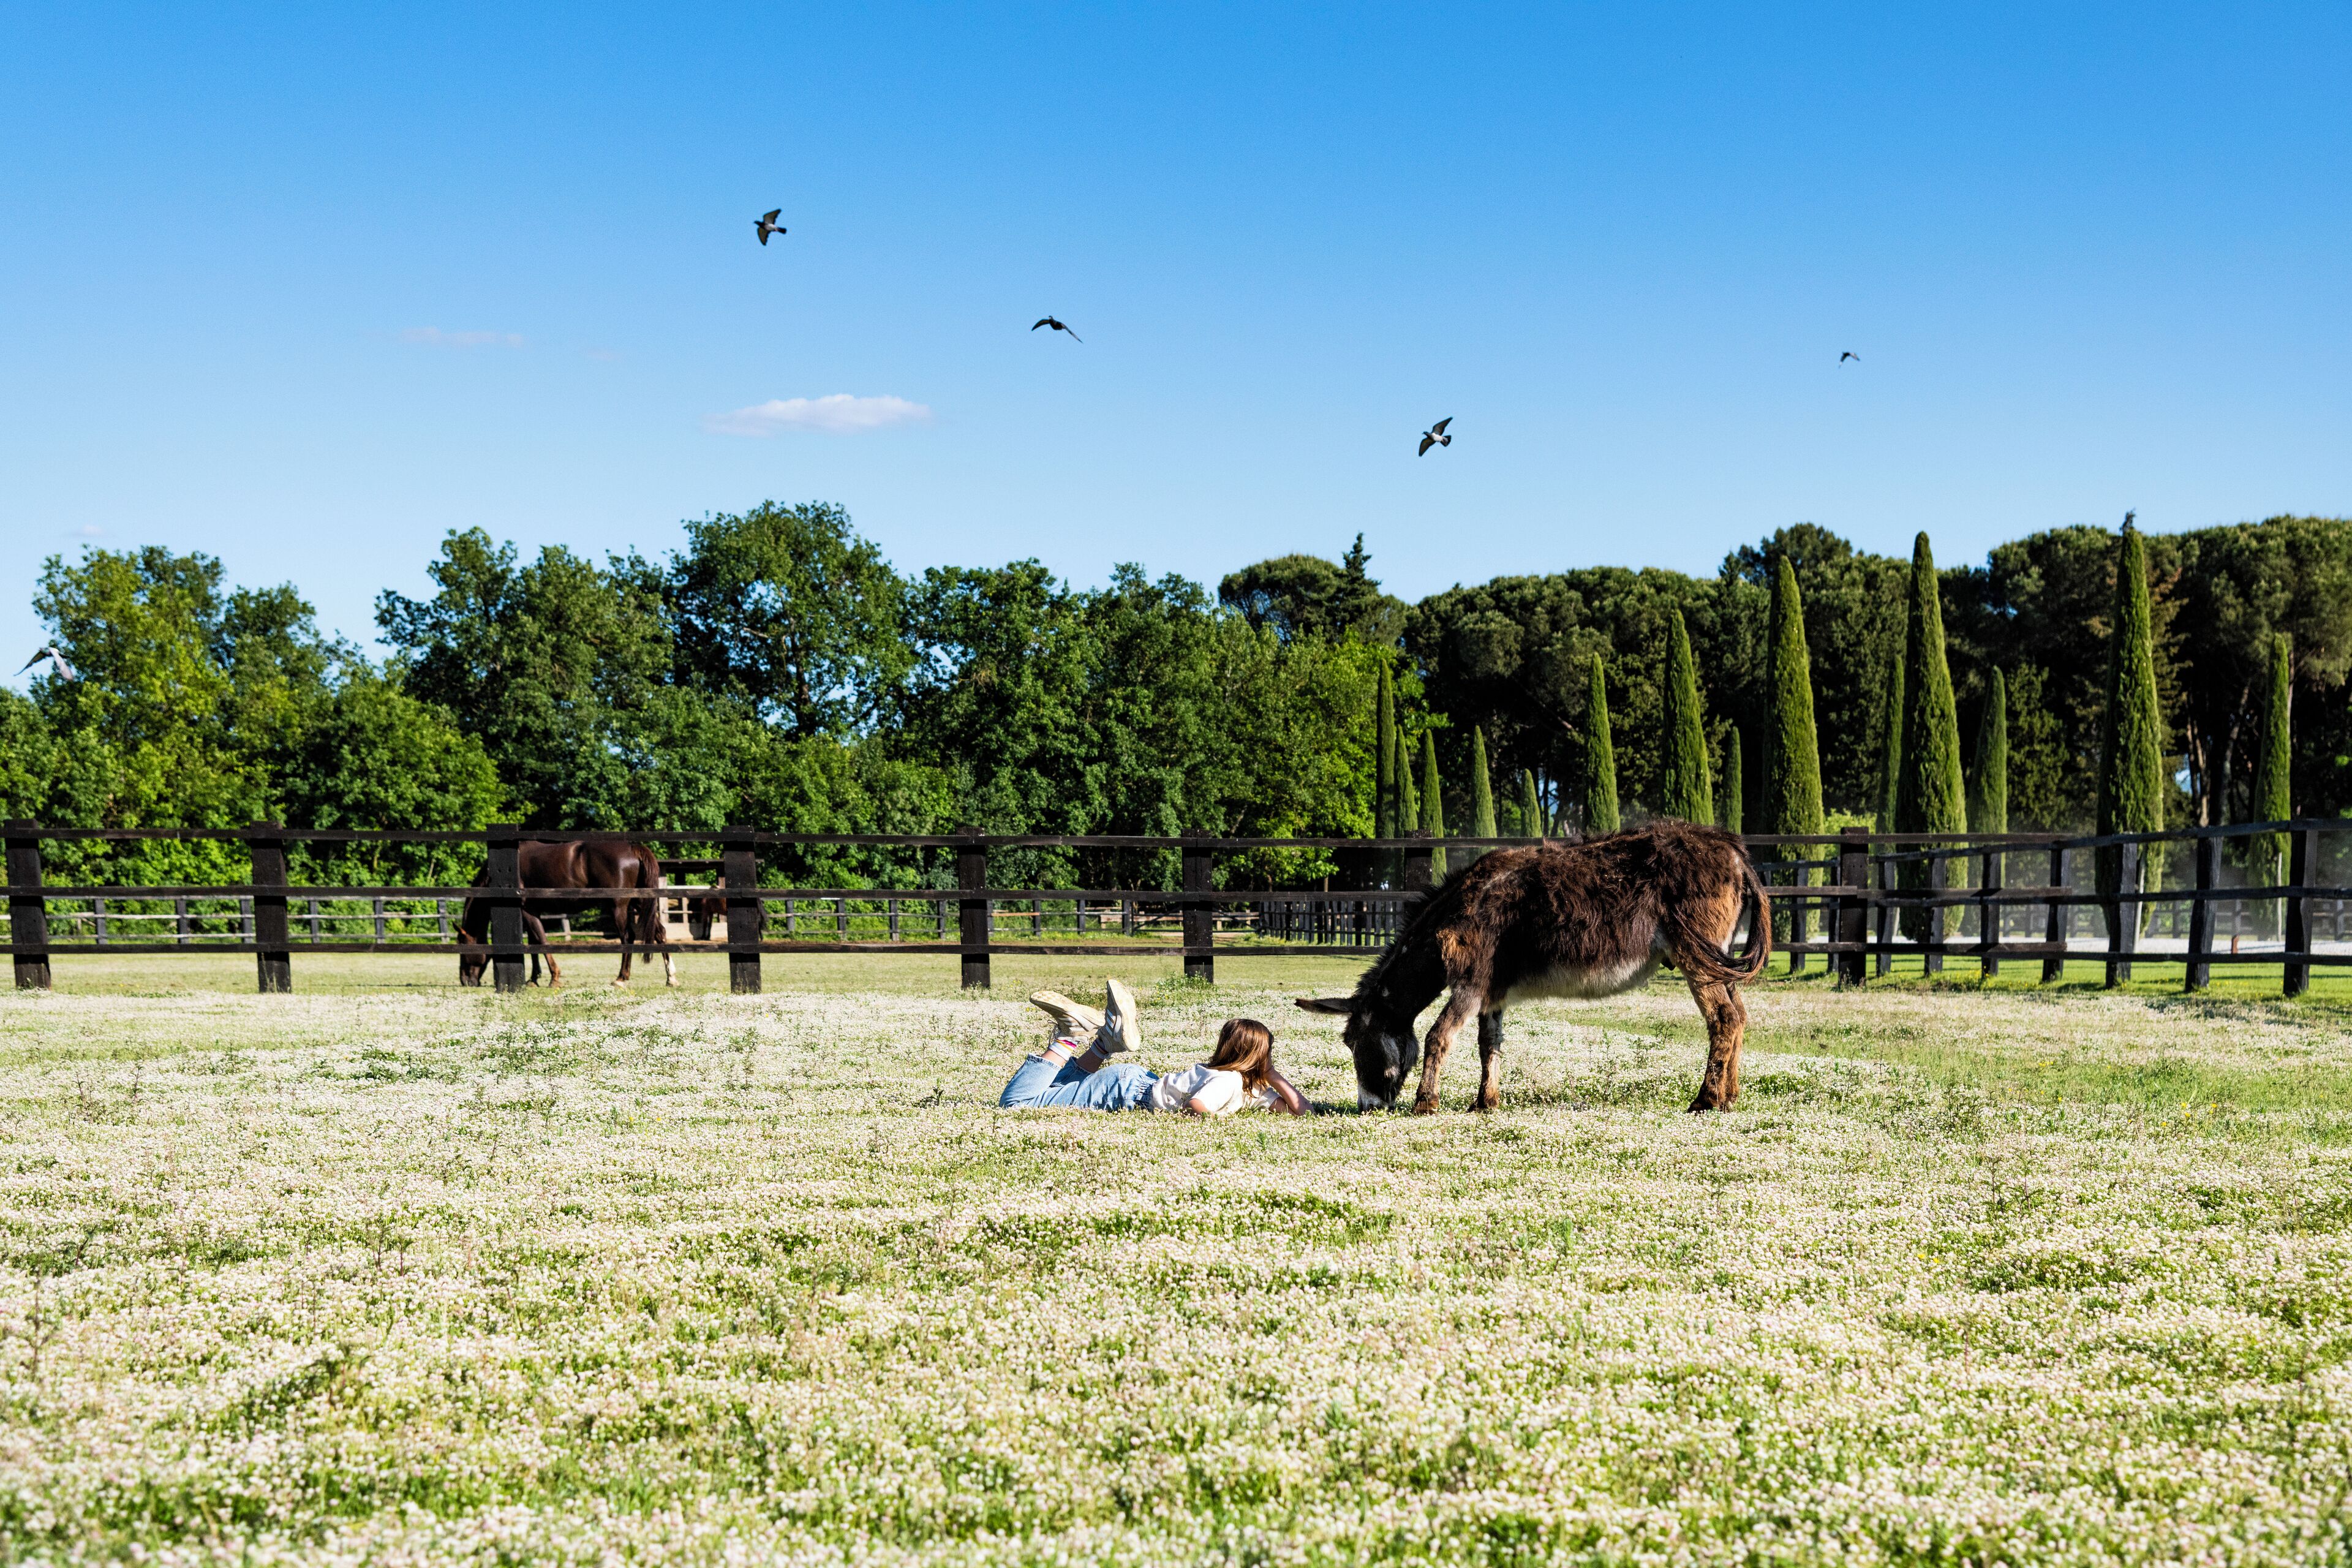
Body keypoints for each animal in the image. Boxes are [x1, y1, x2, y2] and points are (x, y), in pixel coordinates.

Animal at [455, 838, 675, 988]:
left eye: (463, 948)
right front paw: (533, 979)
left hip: (619, 907)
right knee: (660, 933)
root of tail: (633, 848)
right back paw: (671, 978)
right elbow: (534, 944)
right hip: (641, 904)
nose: (466, 981)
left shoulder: (527, 911)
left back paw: (621, 978)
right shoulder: (534, 912)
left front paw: (554, 978)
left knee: (627, 937)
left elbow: (541, 941)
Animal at [1296, 820, 1771, 1114]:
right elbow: (1489, 1043)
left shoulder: (1471, 982)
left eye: (1354, 1042)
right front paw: (1484, 1103)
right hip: (1719, 957)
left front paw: (1425, 1104)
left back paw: (1705, 1100)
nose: (1368, 1108)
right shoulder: (1492, 991)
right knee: (1739, 1016)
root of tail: (1732, 850)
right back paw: (1729, 1097)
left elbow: (1437, 1037)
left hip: (1697, 956)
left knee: (1723, 1018)